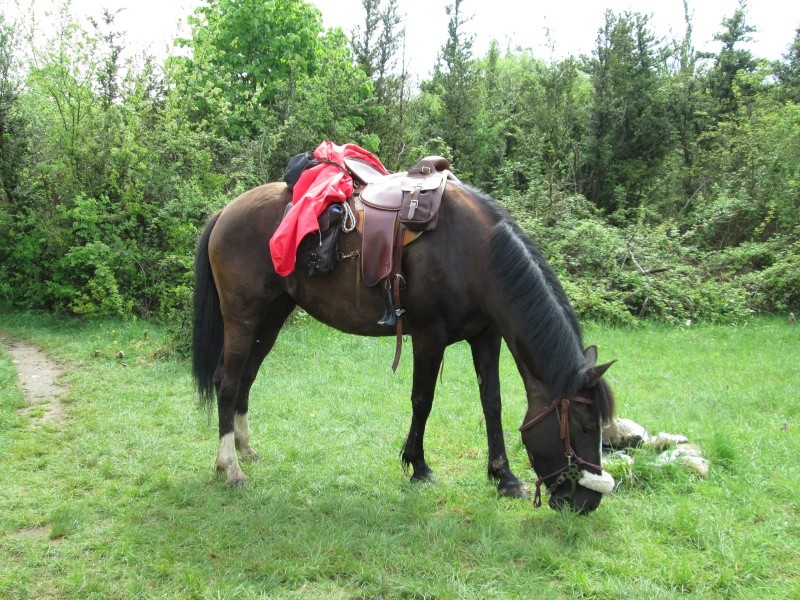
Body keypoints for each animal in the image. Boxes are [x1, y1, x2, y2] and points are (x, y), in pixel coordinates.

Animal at [191, 177, 616, 510]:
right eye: (583, 426)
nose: (588, 502)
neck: (475, 251)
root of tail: (225, 212)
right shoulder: (429, 334)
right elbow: (422, 400)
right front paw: (419, 466)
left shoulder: (486, 335)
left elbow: (491, 403)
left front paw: (505, 478)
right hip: (243, 316)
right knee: (227, 383)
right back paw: (230, 467)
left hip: (272, 316)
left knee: (245, 380)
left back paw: (246, 449)